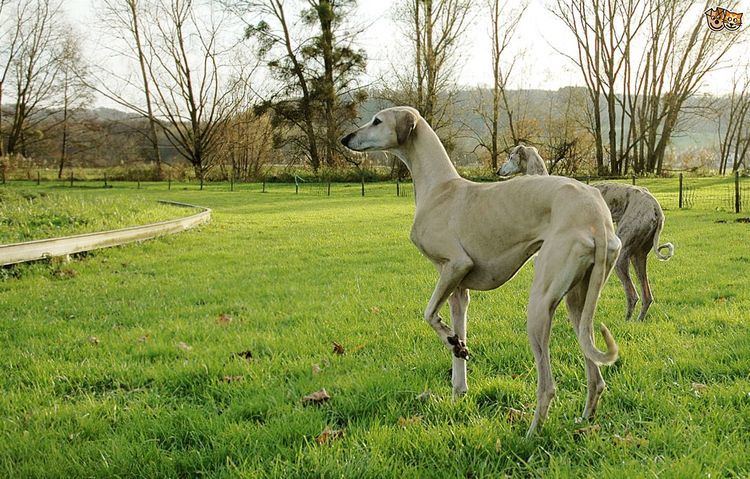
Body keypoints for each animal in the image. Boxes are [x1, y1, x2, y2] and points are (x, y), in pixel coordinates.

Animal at [344, 107, 620, 436]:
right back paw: (584, 419)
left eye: (377, 120)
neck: (440, 188)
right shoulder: (458, 292)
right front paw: (458, 374)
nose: (345, 138)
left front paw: (451, 340)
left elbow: (428, 314)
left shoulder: (455, 265)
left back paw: (530, 434)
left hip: (539, 305)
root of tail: (597, 215)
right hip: (577, 302)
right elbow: (454, 336)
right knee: (596, 377)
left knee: (548, 386)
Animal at [500, 143, 676, 322]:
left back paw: (625, 322)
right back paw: (638, 320)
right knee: (647, 296)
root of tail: (655, 206)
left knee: (633, 295)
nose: (499, 171)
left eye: (510, 156)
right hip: (638, 255)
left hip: (622, 253)